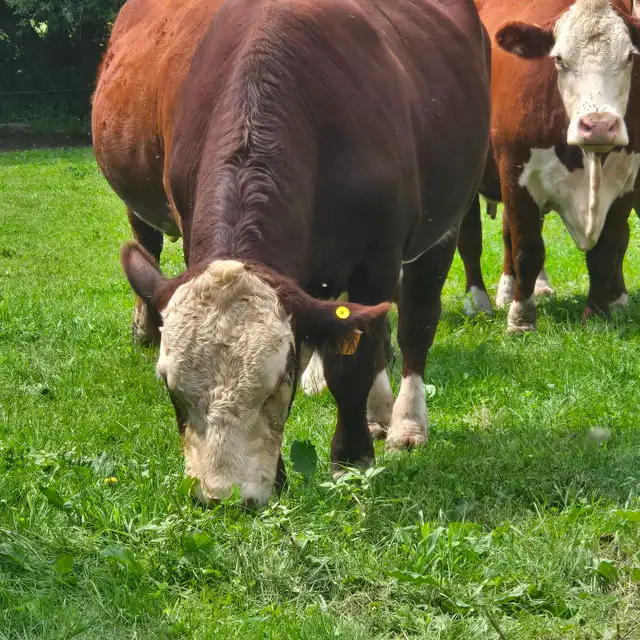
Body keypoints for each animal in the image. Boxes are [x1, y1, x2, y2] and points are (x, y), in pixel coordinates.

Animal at [92, 0, 490, 505]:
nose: (224, 496)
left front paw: (351, 458)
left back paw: (406, 422)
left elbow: (352, 361)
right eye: (170, 387)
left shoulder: (377, 258)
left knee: (415, 321)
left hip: (445, 220)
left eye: (279, 381)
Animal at [455, 0, 640, 332]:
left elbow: (609, 247)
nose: (599, 126)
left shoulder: (627, 180)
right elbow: (527, 248)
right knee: (471, 240)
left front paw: (598, 314)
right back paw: (479, 302)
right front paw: (521, 318)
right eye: (559, 59)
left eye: (630, 56)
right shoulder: (516, 173)